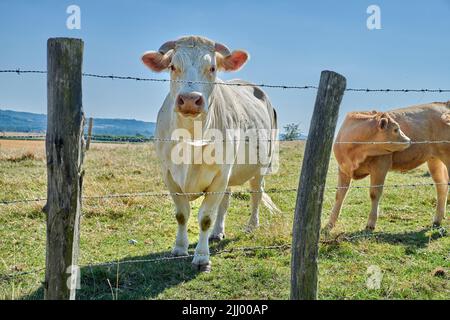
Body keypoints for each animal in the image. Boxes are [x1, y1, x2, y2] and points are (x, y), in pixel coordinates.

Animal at [142, 35, 280, 272]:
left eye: (213, 68)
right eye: (172, 66)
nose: (189, 99)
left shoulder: (219, 176)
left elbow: (205, 217)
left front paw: (201, 257)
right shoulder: (169, 176)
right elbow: (182, 214)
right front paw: (179, 248)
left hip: (259, 167)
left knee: (256, 194)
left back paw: (251, 226)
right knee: (226, 201)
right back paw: (217, 232)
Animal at [326, 101, 450, 231]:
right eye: (395, 129)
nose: (409, 140)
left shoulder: (380, 166)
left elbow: (374, 193)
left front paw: (370, 224)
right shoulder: (343, 169)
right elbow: (339, 195)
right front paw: (330, 223)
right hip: (434, 160)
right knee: (441, 185)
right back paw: (437, 220)